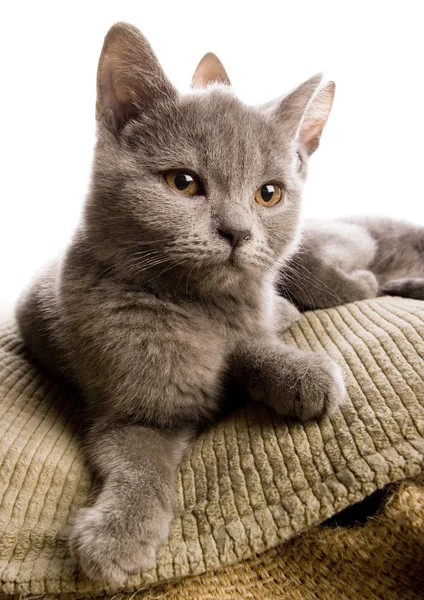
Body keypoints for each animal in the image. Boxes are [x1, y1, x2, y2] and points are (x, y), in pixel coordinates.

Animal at [17, 23, 348, 584]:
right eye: (184, 182)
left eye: (268, 194)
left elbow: (248, 345)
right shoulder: (134, 413)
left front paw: (301, 374)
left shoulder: (244, 322)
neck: (202, 307)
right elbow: (140, 465)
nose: (236, 232)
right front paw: (117, 538)